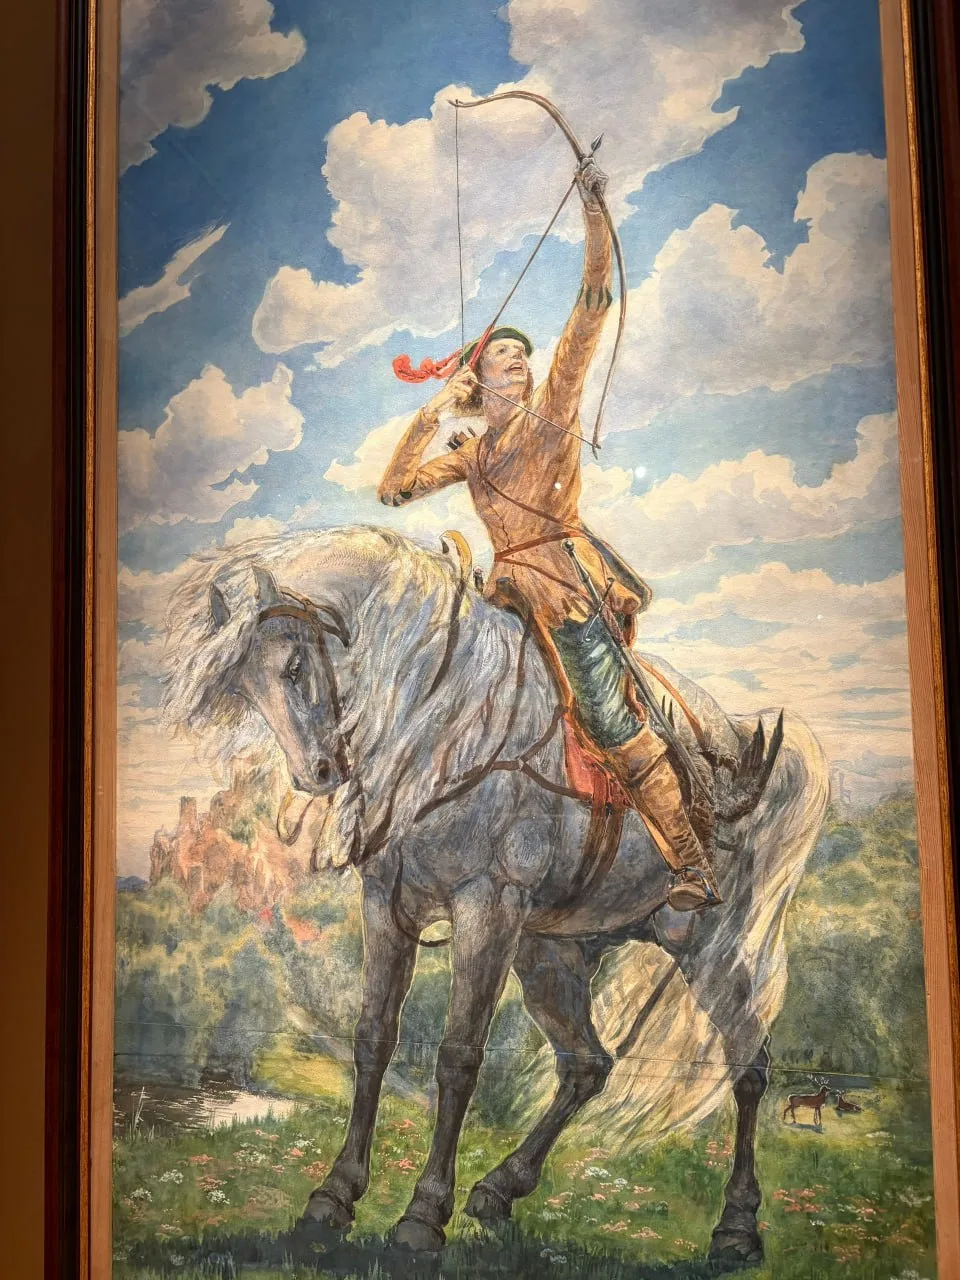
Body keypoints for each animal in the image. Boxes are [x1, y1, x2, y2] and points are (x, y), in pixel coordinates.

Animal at [162, 525, 828, 1262]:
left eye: (294, 666)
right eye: (244, 683)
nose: (319, 771)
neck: (440, 718)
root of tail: (736, 742)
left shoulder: (488, 906)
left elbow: (458, 1055)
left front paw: (423, 1215)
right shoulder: (386, 904)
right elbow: (372, 1039)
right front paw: (335, 1196)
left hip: (711, 948)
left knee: (749, 1064)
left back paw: (737, 1226)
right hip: (550, 956)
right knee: (587, 1064)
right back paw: (500, 1188)